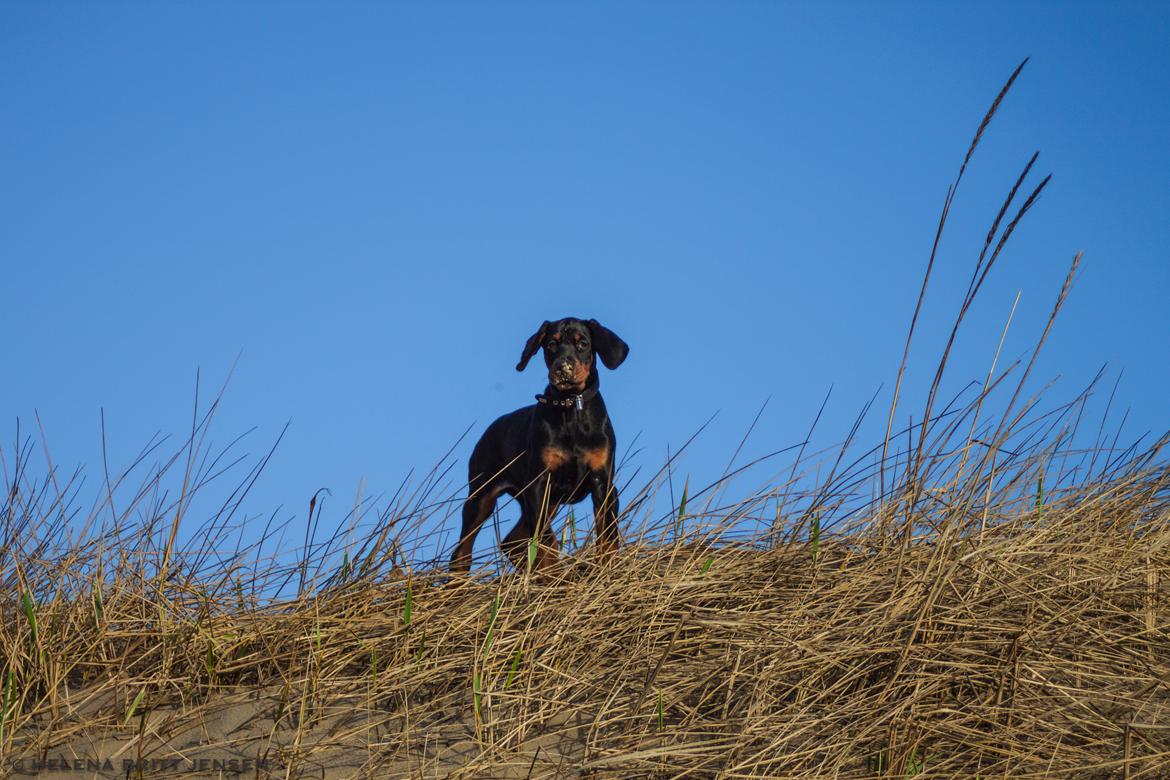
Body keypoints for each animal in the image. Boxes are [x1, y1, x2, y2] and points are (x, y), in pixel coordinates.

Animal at [449, 318, 631, 573]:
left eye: (583, 344)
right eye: (551, 344)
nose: (563, 367)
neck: (570, 409)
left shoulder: (603, 483)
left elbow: (607, 533)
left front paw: (606, 566)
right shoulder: (539, 485)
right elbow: (547, 539)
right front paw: (556, 572)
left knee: (512, 541)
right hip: (481, 494)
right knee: (463, 551)